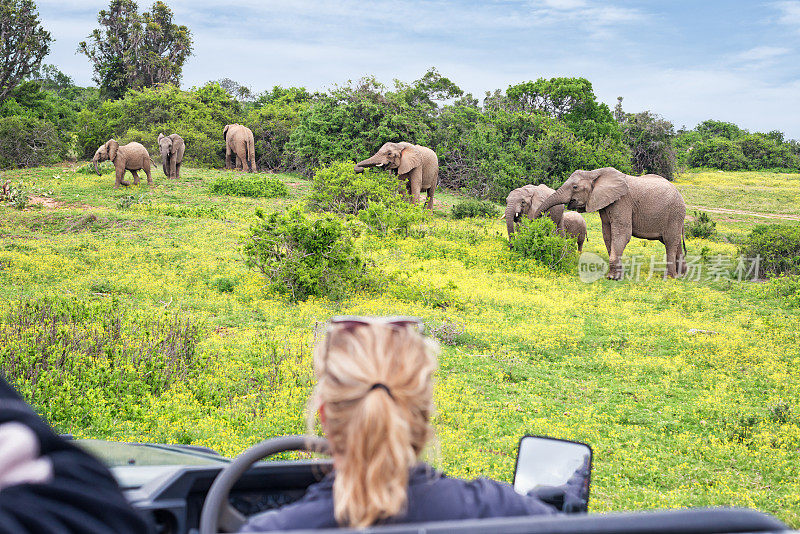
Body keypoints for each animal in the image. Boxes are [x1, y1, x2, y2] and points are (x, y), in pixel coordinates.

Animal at [536, 168, 684, 280]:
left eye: (575, 187)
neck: (595, 173)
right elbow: (607, 234)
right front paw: (615, 275)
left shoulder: (622, 202)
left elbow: (623, 233)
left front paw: (613, 278)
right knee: (674, 243)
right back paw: (682, 274)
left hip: (674, 214)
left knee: (670, 242)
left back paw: (671, 277)